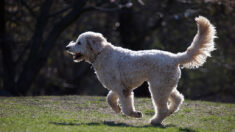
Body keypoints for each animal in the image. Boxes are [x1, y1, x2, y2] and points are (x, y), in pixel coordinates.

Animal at [65, 16, 215, 125]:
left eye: (79, 42)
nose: (67, 47)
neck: (101, 53)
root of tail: (175, 57)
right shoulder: (119, 87)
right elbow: (110, 98)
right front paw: (116, 108)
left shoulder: (122, 89)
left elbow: (126, 108)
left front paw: (135, 114)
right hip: (166, 85)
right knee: (178, 99)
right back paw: (169, 113)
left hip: (157, 88)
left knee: (163, 108)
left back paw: (155, 121)